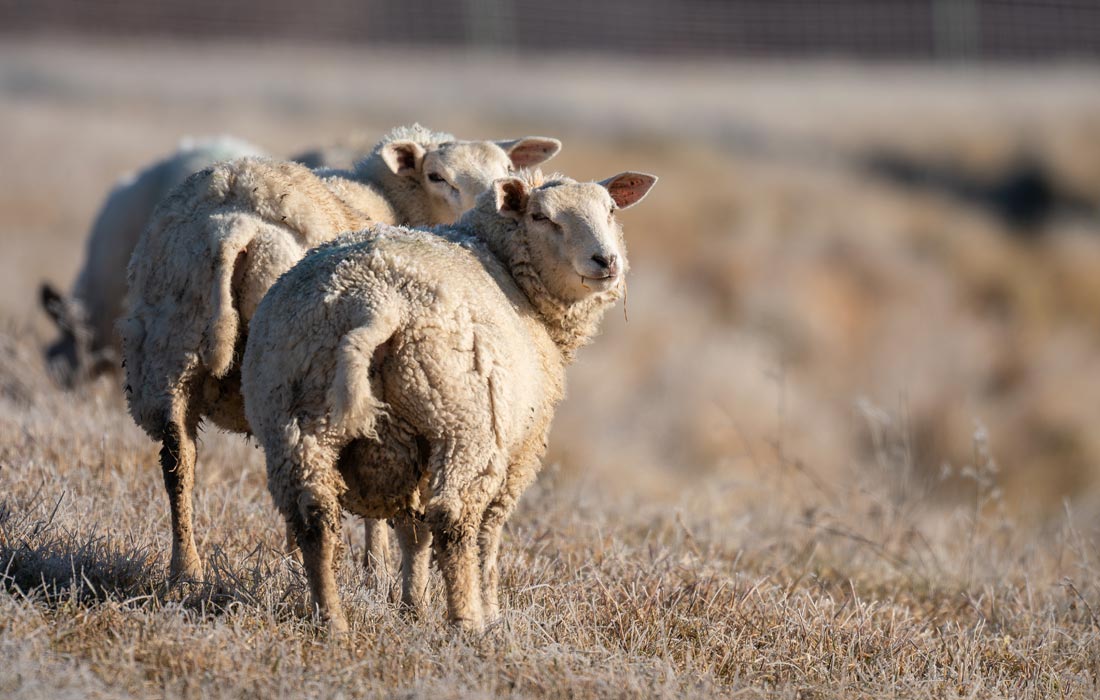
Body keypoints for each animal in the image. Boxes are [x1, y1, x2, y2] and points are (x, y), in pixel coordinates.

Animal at [124, 124, 563, 585]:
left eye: (507, 168)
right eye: (437, 176)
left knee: (179, 460)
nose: (487, 203)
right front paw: (377, 566)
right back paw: (296, 568)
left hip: (166, 350)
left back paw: (186, 569)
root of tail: (234, 226)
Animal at [240, 167, 651, 629]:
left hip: (292, 415)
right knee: (454, 520)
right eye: (542, 217)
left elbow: (412, 530)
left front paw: (413, 607)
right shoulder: (519, 454)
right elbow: (486, 534)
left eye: (611, 209)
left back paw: (331, 620)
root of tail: (374, 302)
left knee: (314, 515)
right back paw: (466, 622)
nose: (606, 261)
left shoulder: (410, 448)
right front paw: (490, 611)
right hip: (462, 424)